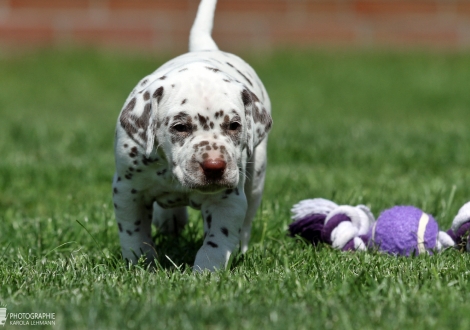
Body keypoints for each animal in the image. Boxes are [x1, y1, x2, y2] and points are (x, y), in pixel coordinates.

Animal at [113, 0, 272, 272]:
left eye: (234, 125)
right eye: (180, 127)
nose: (214, 166)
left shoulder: (227, 200)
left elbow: (217, 240)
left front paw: (206, 271)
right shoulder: (126, 191)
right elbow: (134, 232)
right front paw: (141, 263)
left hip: (256, 177)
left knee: (246, 221)